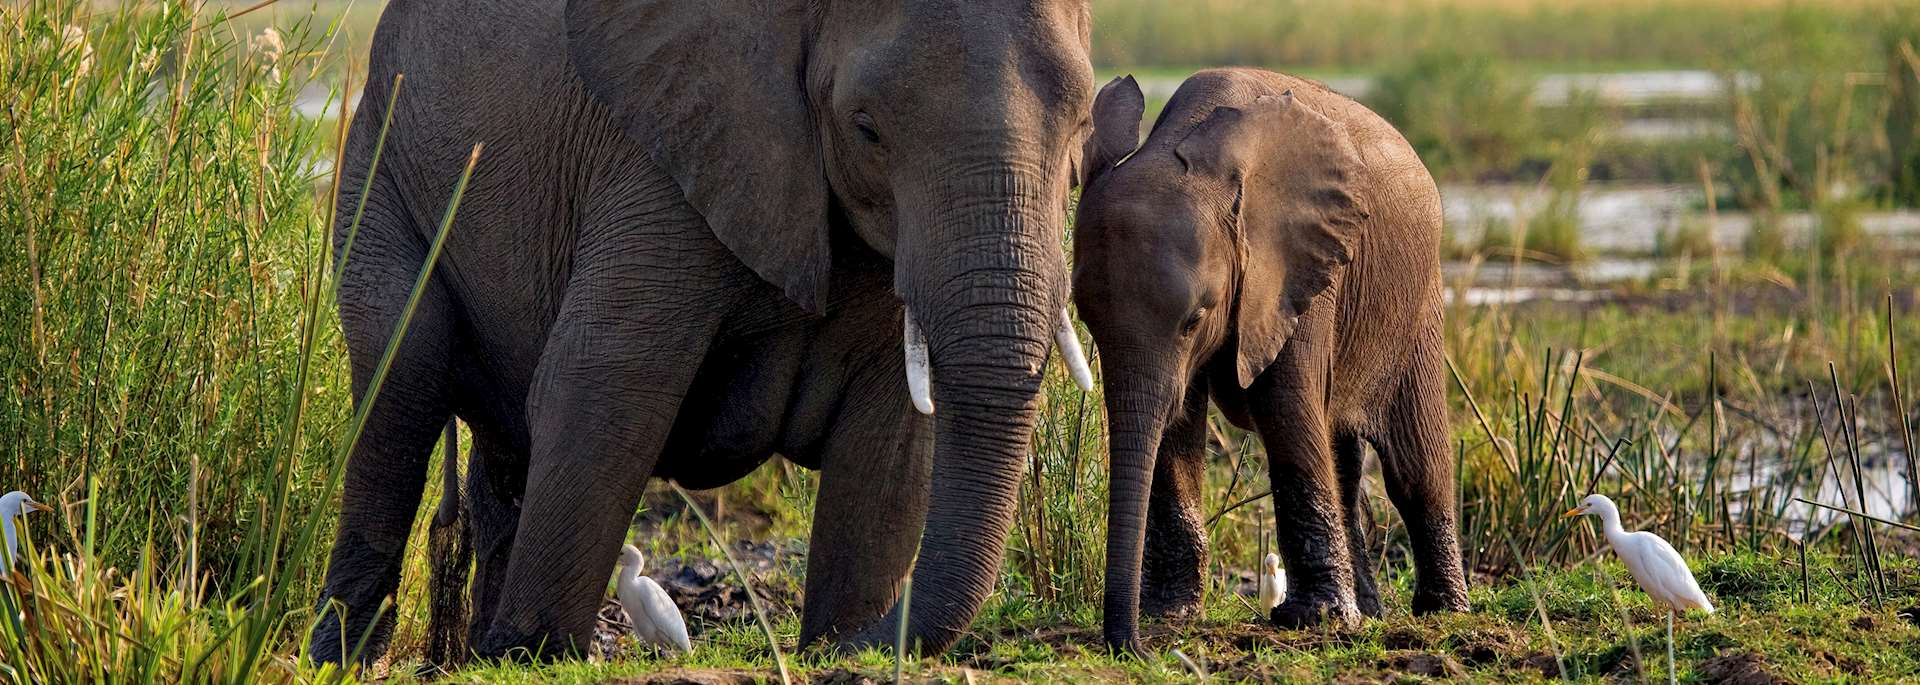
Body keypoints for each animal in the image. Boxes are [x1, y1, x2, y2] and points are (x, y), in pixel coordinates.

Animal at [309, 0, 1097, 663]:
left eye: (1086, 125)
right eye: (867, 128)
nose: (846, 646)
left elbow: (892, 436)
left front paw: (842, 646)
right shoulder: (660, 158)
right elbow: (604, 384)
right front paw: (532, 654)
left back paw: (469, 655)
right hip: (380, 152)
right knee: (400, 384)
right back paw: (348, 656)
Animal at [1070, 68, 1471, 653]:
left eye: (1195, 317)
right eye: (1087, 320)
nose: (1134, 646)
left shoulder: (1297, 267)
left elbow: (1285, 408)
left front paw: (1316, 620)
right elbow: (1176, 422)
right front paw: (1171, 614)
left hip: (1415, 300)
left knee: (1414, 463)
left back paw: (1441, 612)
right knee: (1343, 457)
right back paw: (1372, 612)